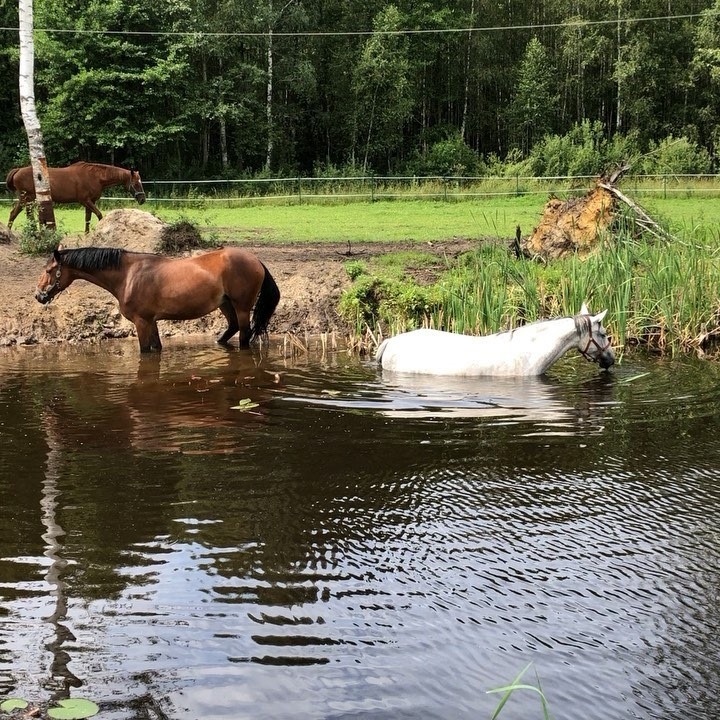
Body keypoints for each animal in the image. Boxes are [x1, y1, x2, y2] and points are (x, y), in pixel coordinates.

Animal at [6, 162, 146, 233]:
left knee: (18, 214)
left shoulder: (90, 202)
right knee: (19, 214)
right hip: (27, 199)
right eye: (136, 184)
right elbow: (99, 215)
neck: (95, 177)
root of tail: (17, 170)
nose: (142, 199)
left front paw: (87, 234)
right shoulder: (85, 201)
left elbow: (88, 219)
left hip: (27, 200)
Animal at [35, 245, 280, 353]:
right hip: (225, 304)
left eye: (49, 270)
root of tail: (256, 260)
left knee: (244, 336)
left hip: (241, 307)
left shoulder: (141, 322)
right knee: (232, 329)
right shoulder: (151, 322)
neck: (127, 275)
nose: (39, 295)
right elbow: (157, 347)